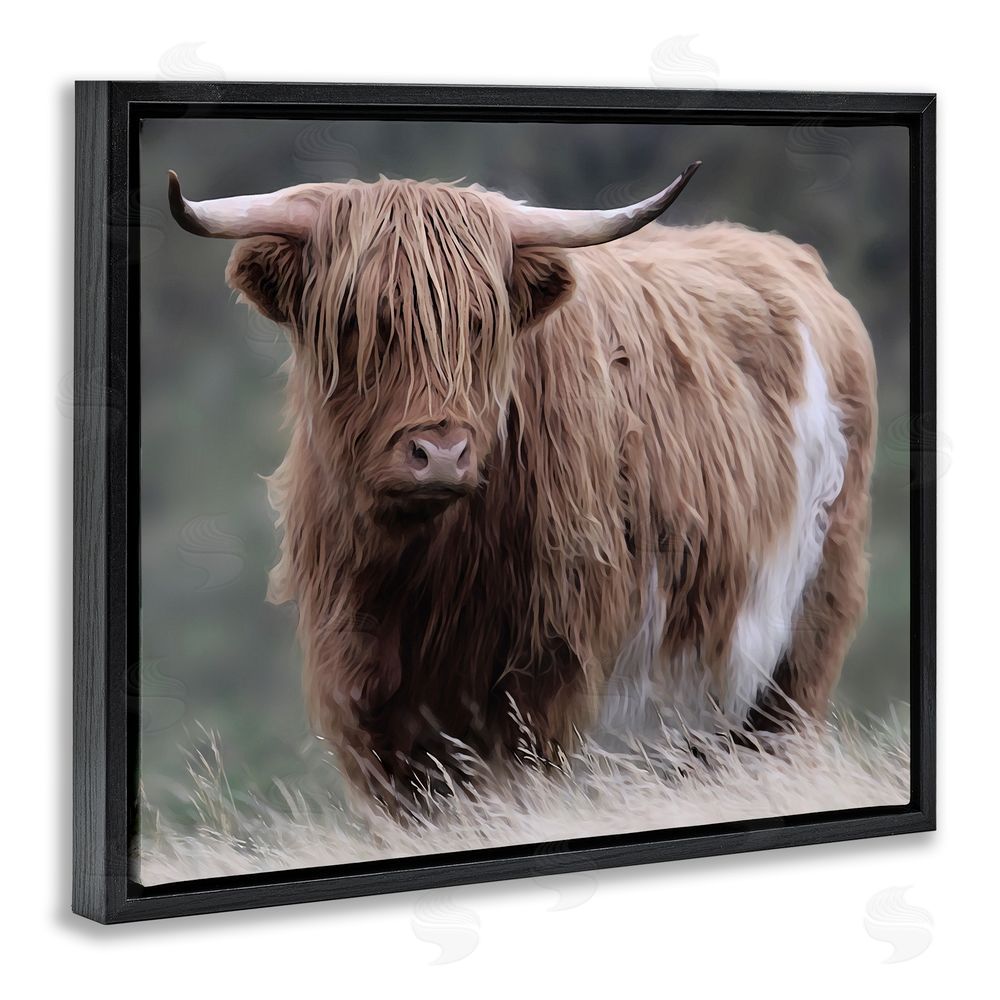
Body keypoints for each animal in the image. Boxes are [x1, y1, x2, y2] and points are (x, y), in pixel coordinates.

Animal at [167, 163, 876, 803]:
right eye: (356, 322)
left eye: (482, 323)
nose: (441, 453)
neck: (420, 579)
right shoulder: (367, 703)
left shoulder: (545, 685)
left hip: (797, 645)